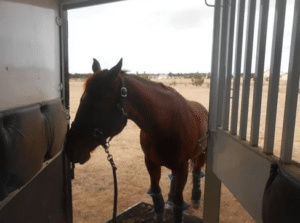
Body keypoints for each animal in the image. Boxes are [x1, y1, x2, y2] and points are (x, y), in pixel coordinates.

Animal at [64, 58, 207, 222]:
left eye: (96, 103)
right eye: (82, 100)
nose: (69, 147)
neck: (165, 125)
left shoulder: (181, 166)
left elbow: (178, 206)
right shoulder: (151, 163)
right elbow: (157, 201)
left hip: (202, 154)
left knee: (196, 171)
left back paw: (196, 198)